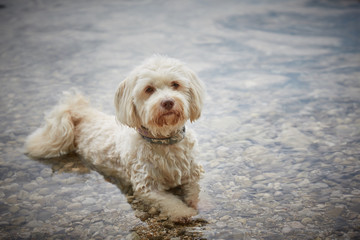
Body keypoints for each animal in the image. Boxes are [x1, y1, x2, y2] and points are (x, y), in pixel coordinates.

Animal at [24, 55, 205, 222]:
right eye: (149, 89)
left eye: (175, 84)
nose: (168, 102)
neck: (164, 141)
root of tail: (81, 114)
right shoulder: (148, 187)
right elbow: (169, 202)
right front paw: (183, 212)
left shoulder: (192, 174)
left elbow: (195, 190)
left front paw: (198, 204)